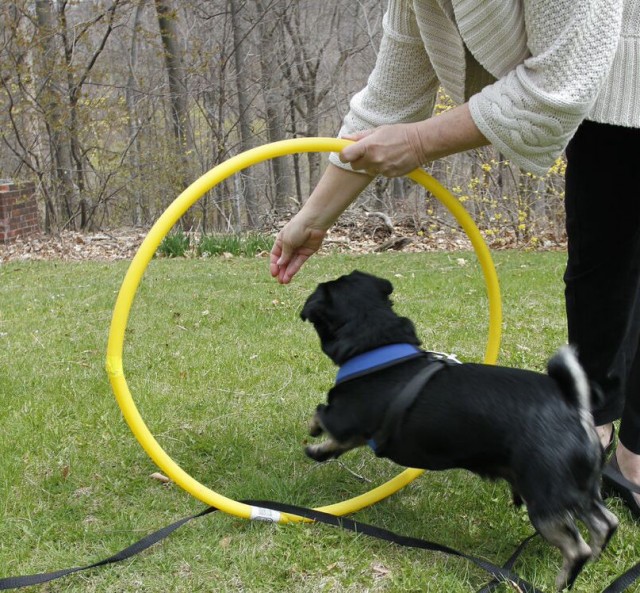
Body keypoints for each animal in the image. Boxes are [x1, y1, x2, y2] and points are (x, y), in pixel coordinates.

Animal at [302, 270, 616, 588]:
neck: (377, 345)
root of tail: (573, 407)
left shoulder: (344, 420)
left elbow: (321, 417)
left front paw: (313, 442)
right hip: (578, 491)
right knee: (606, 522)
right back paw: (595, 557)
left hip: (545, 502)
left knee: (576, 547)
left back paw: (561, 581)